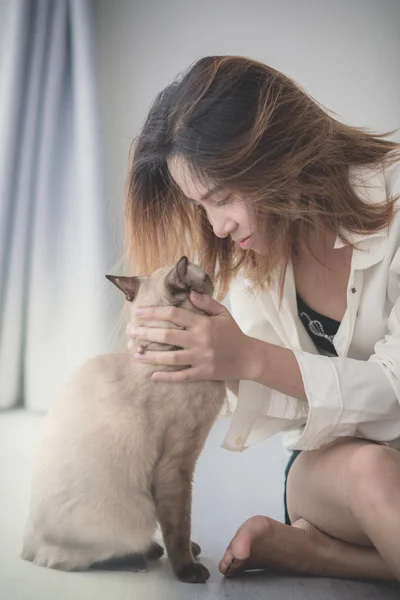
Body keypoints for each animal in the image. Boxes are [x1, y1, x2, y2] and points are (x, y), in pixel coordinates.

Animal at [21, 256, 227, 580]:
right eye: (204, 275)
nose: (211, 274)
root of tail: (26, 550)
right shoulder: (177, 465)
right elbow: (179, 525)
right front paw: (188, 570)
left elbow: (180, 525)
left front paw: (190, 554)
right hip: (137, 511)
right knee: (88, 558)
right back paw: (141, 557)